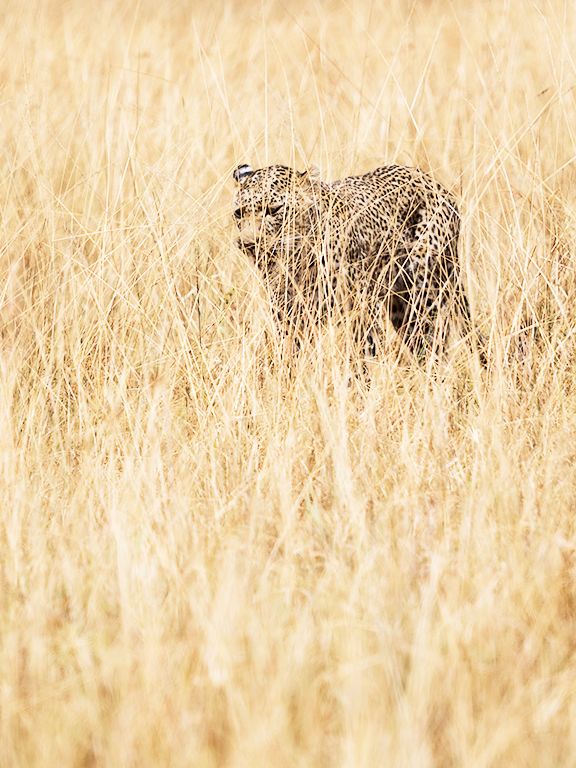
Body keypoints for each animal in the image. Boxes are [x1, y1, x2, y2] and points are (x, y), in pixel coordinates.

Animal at [232, 162, 481, 363]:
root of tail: (431, 182)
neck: (297, 257)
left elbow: (360, 357)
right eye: (238, 213)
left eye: (273, 210)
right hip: (401, 306)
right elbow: (289, 353)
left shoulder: (359, 309)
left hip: (424, 293)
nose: (248, 243)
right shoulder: (289, 314)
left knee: (435, 348)